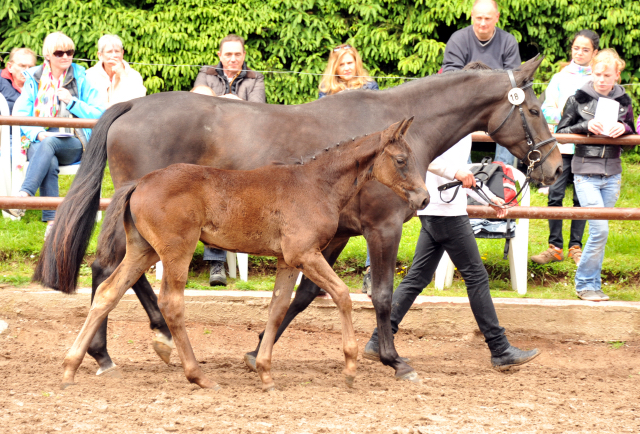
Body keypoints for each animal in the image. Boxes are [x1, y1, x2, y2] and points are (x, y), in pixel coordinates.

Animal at [61, 117, 430, 392]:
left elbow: (279, 308)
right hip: (176, 250)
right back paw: (198, 375)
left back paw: (71, 367)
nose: (424, 198)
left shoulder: (287, 260)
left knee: (107, 292)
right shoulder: (305, 253)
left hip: (143, 250)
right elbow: (341, 295)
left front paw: (264, 371)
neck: (316, 184)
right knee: (171, 303)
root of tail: (139, 182)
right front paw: (351, 367)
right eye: (401, 161)